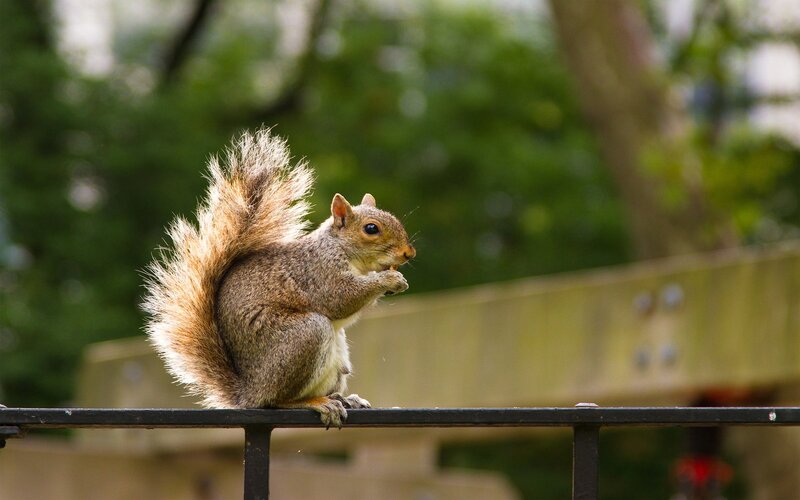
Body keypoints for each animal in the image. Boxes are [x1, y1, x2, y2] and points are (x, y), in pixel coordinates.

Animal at [142, 128, 415, 428]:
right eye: (371, 229)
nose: (409, 253)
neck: (344, 252)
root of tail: (250, 391)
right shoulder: (319, 273)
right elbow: (340, 298)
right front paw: (389, 280)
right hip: (303, 336)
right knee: (277, 401)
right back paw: (317, 402)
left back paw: (345, 399)